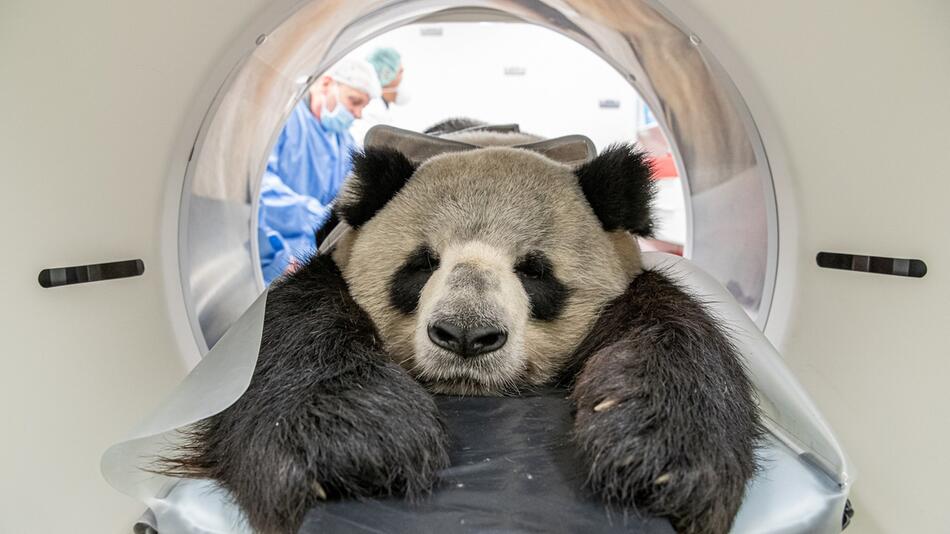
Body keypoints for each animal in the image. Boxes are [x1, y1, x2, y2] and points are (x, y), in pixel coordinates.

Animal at [160, 121, 764, 534]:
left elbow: (671, 324)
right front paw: (352, 445)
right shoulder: (333, 257)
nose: (466, 336)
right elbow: (292, 330)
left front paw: (657, 454)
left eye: (534, 271)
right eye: (422, 264)